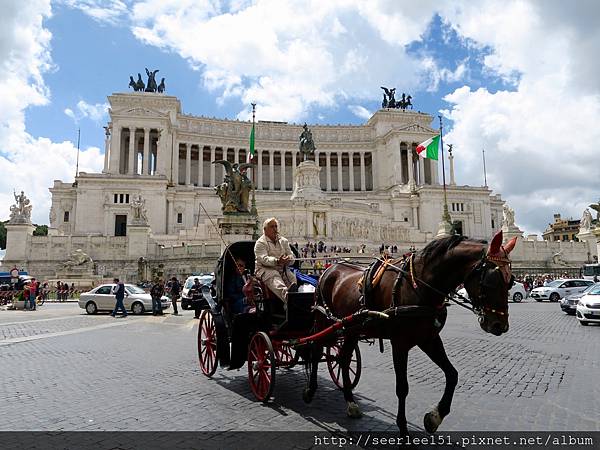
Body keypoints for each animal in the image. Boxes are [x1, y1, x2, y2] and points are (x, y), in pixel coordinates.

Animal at [304, 230, 516, 434]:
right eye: (490, 280)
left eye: (511, 281)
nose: (500, 325)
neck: (420, 286)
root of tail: (329, 269)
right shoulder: (400, 343)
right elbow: (402, 388)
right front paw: (404, 430)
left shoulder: (429, 339)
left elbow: (452, 375)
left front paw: (434, 417)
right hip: (323, 320)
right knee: (315, 349)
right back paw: (310, 390)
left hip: (350, 329)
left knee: (344, 359)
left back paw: (351, 403)